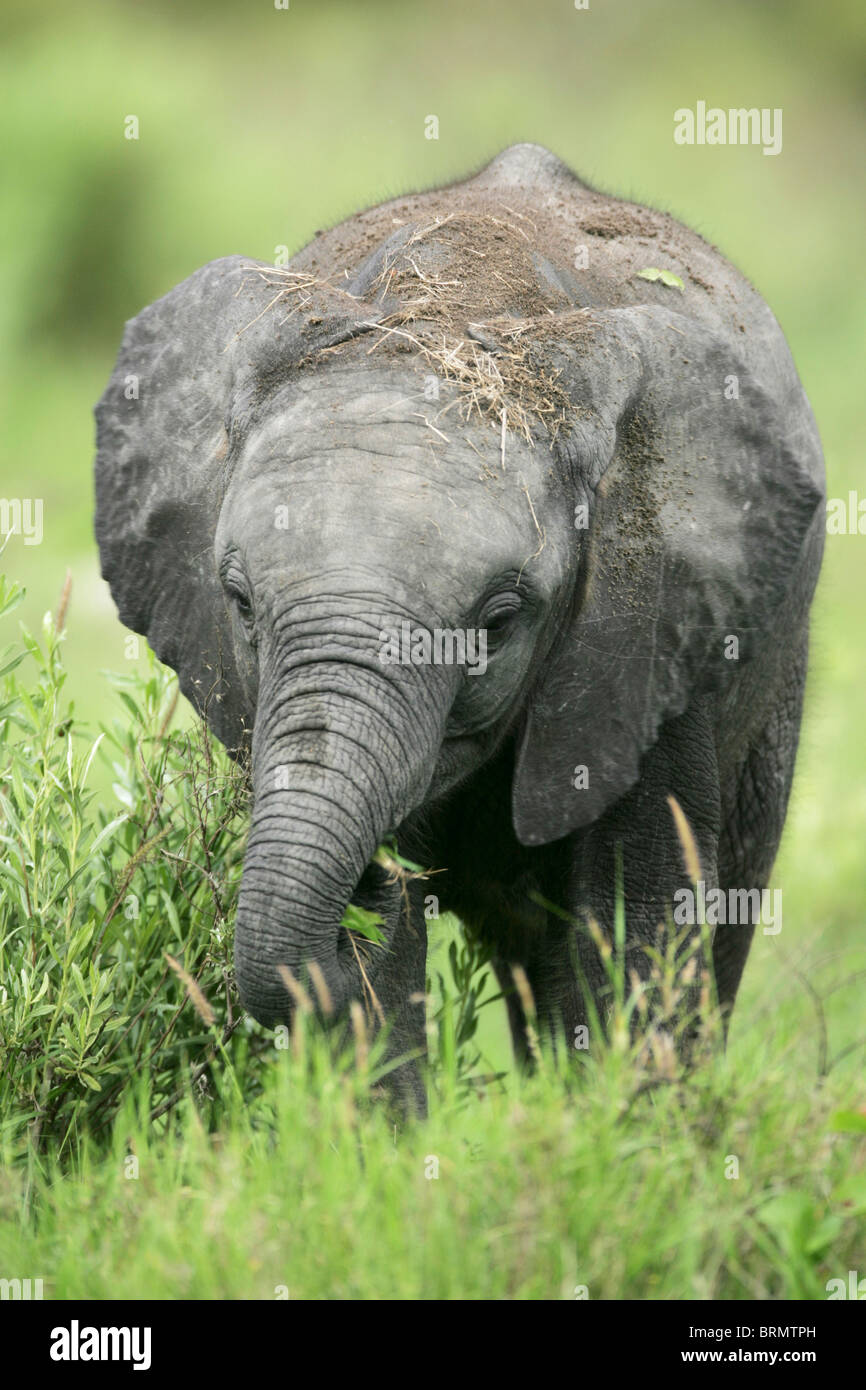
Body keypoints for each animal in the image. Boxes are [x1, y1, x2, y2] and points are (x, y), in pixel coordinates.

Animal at [94, 146, 828, 1112]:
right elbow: (386, 975)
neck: (454, 306)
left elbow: (636, 909)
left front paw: (613, 1129)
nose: (370, 881)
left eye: (501, 620)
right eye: (240, 603)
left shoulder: (649, 632)